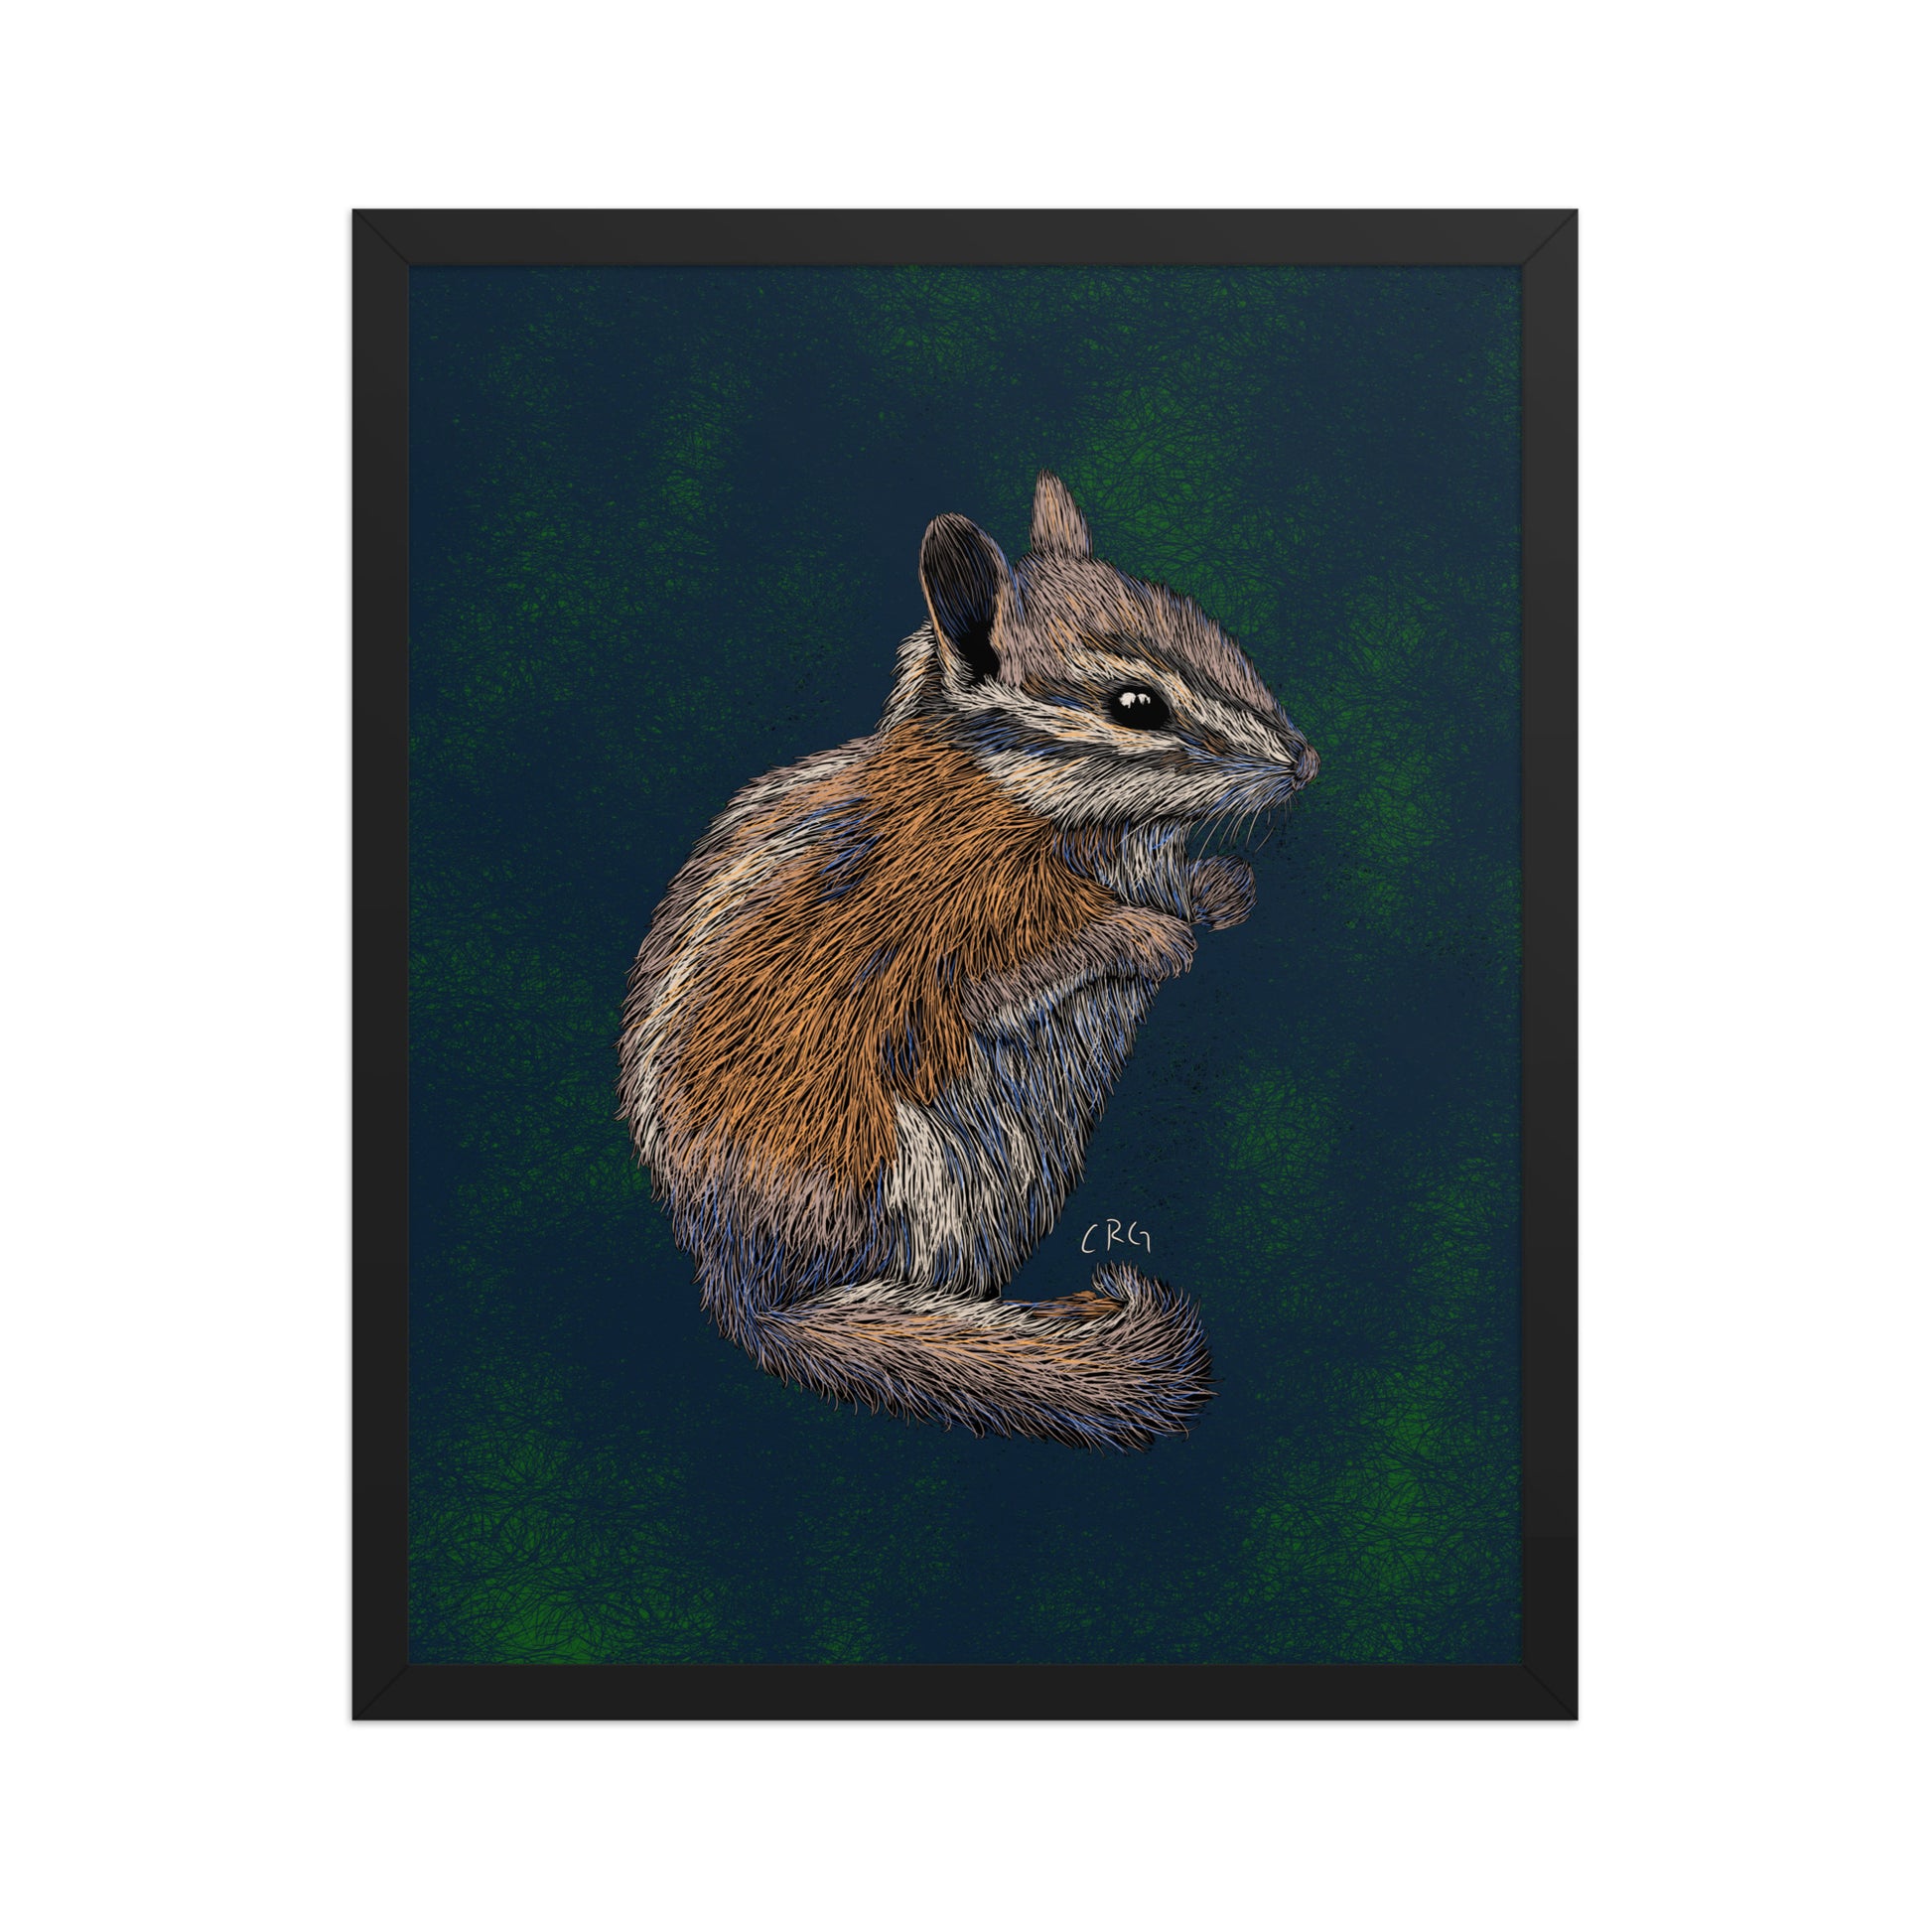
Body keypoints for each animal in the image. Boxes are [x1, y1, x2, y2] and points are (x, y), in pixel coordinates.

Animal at [617, 472, 1318, 1450]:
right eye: (1137, 706)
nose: (1306, 762)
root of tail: (748, 1289)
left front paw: (1221, 891)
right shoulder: (957, 934)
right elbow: (1023, 970)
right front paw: (1152, 936)